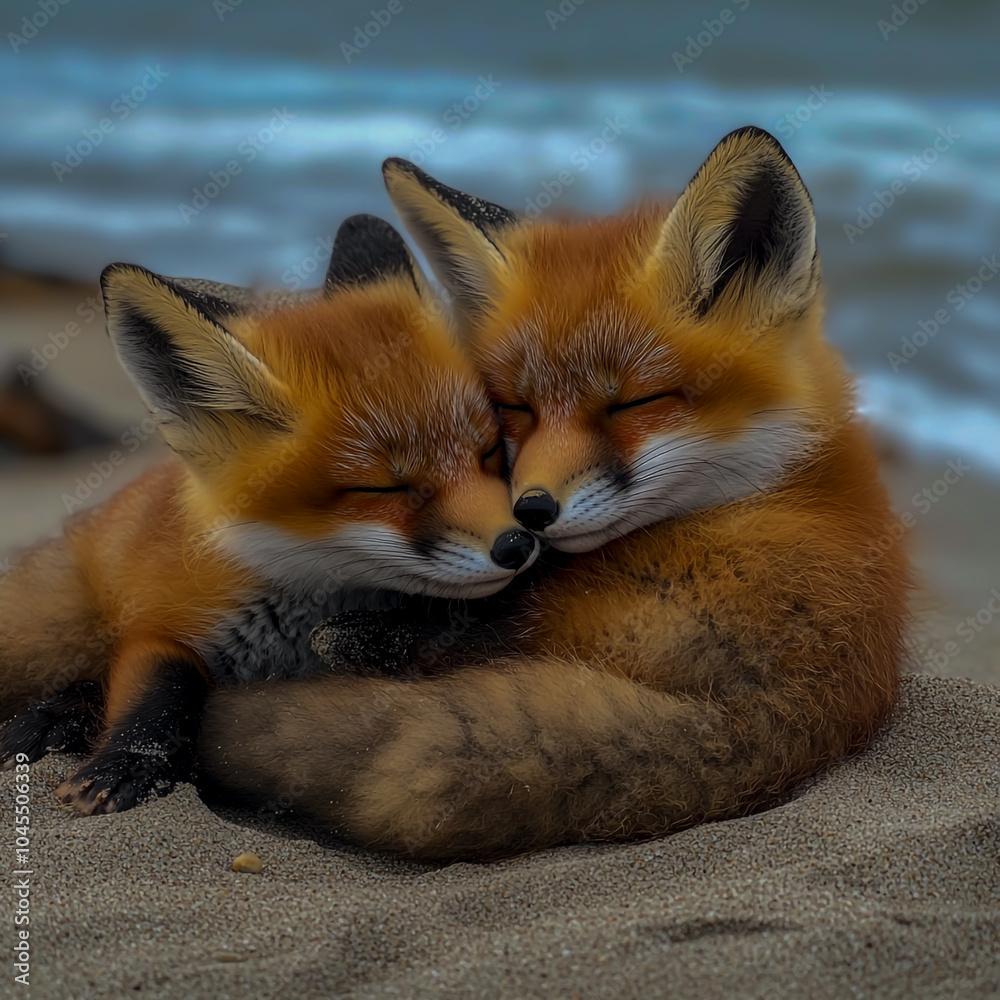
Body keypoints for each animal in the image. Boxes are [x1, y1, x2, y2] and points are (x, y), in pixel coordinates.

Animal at [0, 214, 538, 815]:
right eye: (384, 486)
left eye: (489, 452)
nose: (517, 545)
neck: (293, 626)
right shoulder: (164, 614)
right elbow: (161, 688)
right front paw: (131, 758)